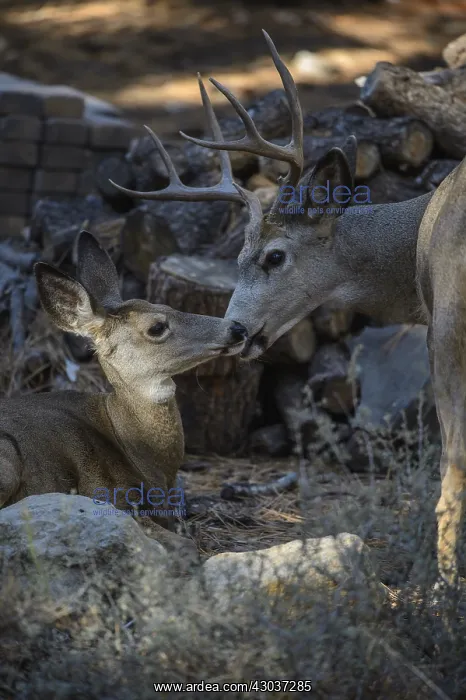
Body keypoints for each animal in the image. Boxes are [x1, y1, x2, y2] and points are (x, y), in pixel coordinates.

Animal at [109, 30, 466, 597]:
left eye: (274, 256)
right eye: (236, 257)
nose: (236, 328)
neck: (410, 251)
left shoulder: (438, 326)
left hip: (451, 325)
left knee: (454, 459)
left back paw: (442, 589)